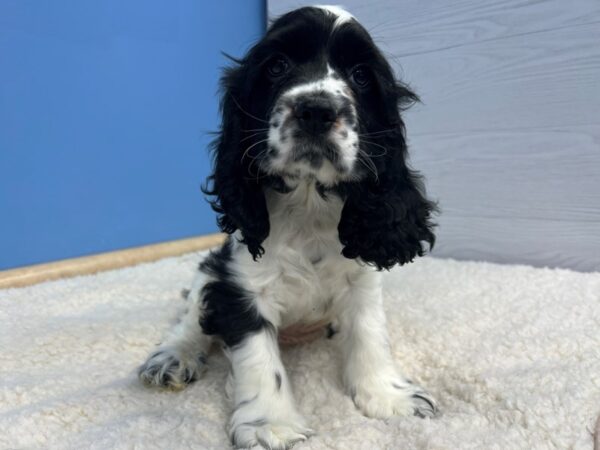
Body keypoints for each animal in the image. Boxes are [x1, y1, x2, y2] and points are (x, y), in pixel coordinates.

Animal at [141, 4, 440, 450]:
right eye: (278, 66)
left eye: (361, 76)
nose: (316, 109)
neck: (308, 202)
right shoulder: (242, 288)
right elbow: (258, 358)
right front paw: (271, 424)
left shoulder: (361, 279)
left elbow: (370, 333)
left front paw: (390, 396)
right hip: (209, 274)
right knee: (191, 318)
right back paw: (173, 358)